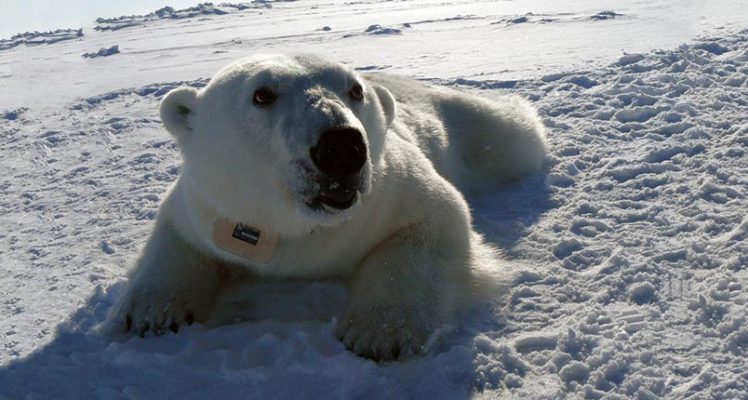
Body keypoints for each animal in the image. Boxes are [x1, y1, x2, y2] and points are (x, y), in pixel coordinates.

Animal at [108, 54, 548, 360]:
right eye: (262, 94)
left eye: (354, 90)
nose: (341, 147)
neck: (302, 224)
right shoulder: (207, 203)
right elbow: (175, 236)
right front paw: (153, 312)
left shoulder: (390, 191)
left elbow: (433, 220)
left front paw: (379, 332)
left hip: (468, 126)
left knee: (511, 136)